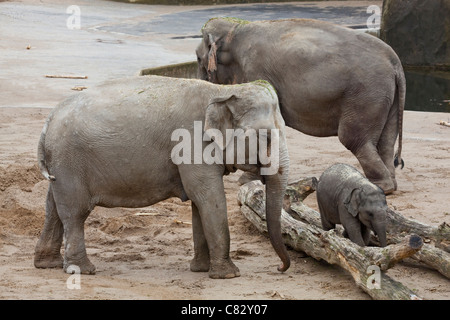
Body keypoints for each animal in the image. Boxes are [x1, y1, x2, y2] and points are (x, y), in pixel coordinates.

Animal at [33, 75, 290, 278]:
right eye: (266, 136)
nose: (279, 268)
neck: (222, 90)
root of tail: (48, 121)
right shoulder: (191, 142)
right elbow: (207, 195)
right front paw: (228, 275)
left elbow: (199, 202)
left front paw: (200, 269)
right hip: (70, 162)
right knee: (75, 212)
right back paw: (82, 270)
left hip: (60, 166)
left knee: (53, 207)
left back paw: (48, 264)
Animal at [196, 18, 404, 195]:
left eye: (198, 59)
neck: (235, 27)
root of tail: (395, 62)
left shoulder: (255, 70)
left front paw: (247, 180)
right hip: (386, 97)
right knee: (385, 142)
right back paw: (390, 184)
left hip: (366, 94)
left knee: (354, 139)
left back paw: (380, 187)